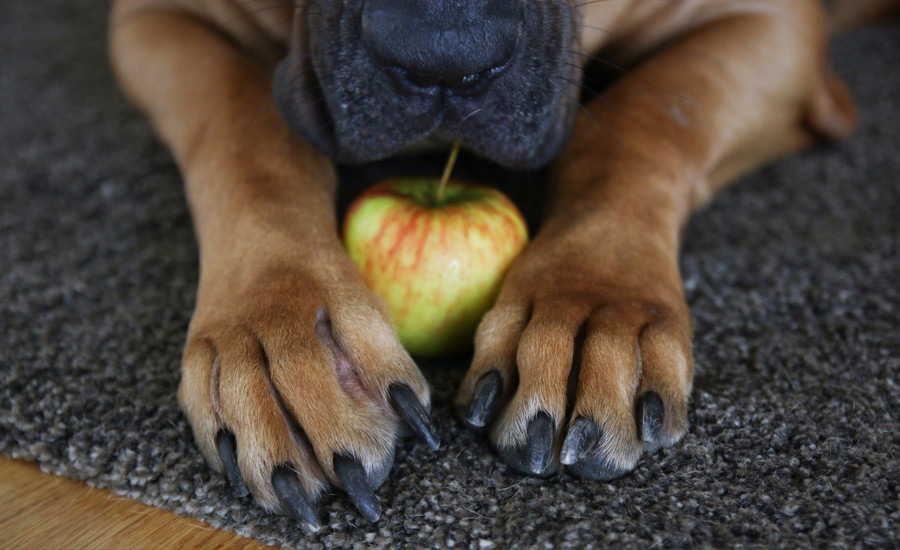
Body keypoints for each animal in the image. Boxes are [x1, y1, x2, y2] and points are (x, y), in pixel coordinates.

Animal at [110, 0, 884, 536]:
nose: (442, 58)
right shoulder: (150, 20)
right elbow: (250, 137)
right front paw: (282, 340)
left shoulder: (775, 29)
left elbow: (636, 123)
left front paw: (592, 309)